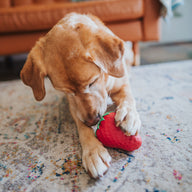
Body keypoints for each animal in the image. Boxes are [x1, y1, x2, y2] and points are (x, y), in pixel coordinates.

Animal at [20, 13, 141, 178]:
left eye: (92, 82)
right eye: (67, 91)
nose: (93, 121)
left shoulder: (121, 84)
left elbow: (128, 98)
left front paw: (128, 115)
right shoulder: (74, 106)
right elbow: (82, 126)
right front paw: (93, 151)